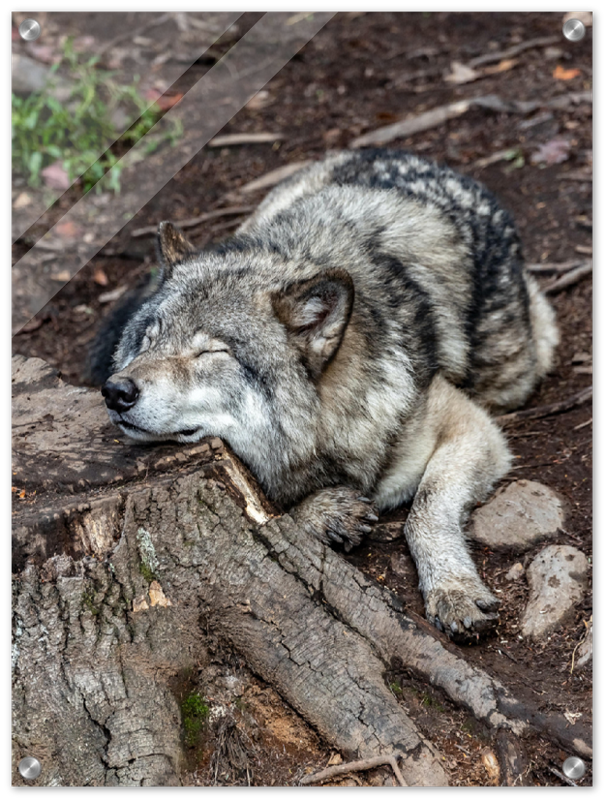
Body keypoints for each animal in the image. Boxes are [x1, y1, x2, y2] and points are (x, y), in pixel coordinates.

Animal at [96, 149, 558, 642]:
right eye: (149, 340)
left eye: (210, 352)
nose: (116, 391)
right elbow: (271, 515)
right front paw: (322, 512)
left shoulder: (471, 427)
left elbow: (425, 509)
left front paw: (452, 589)